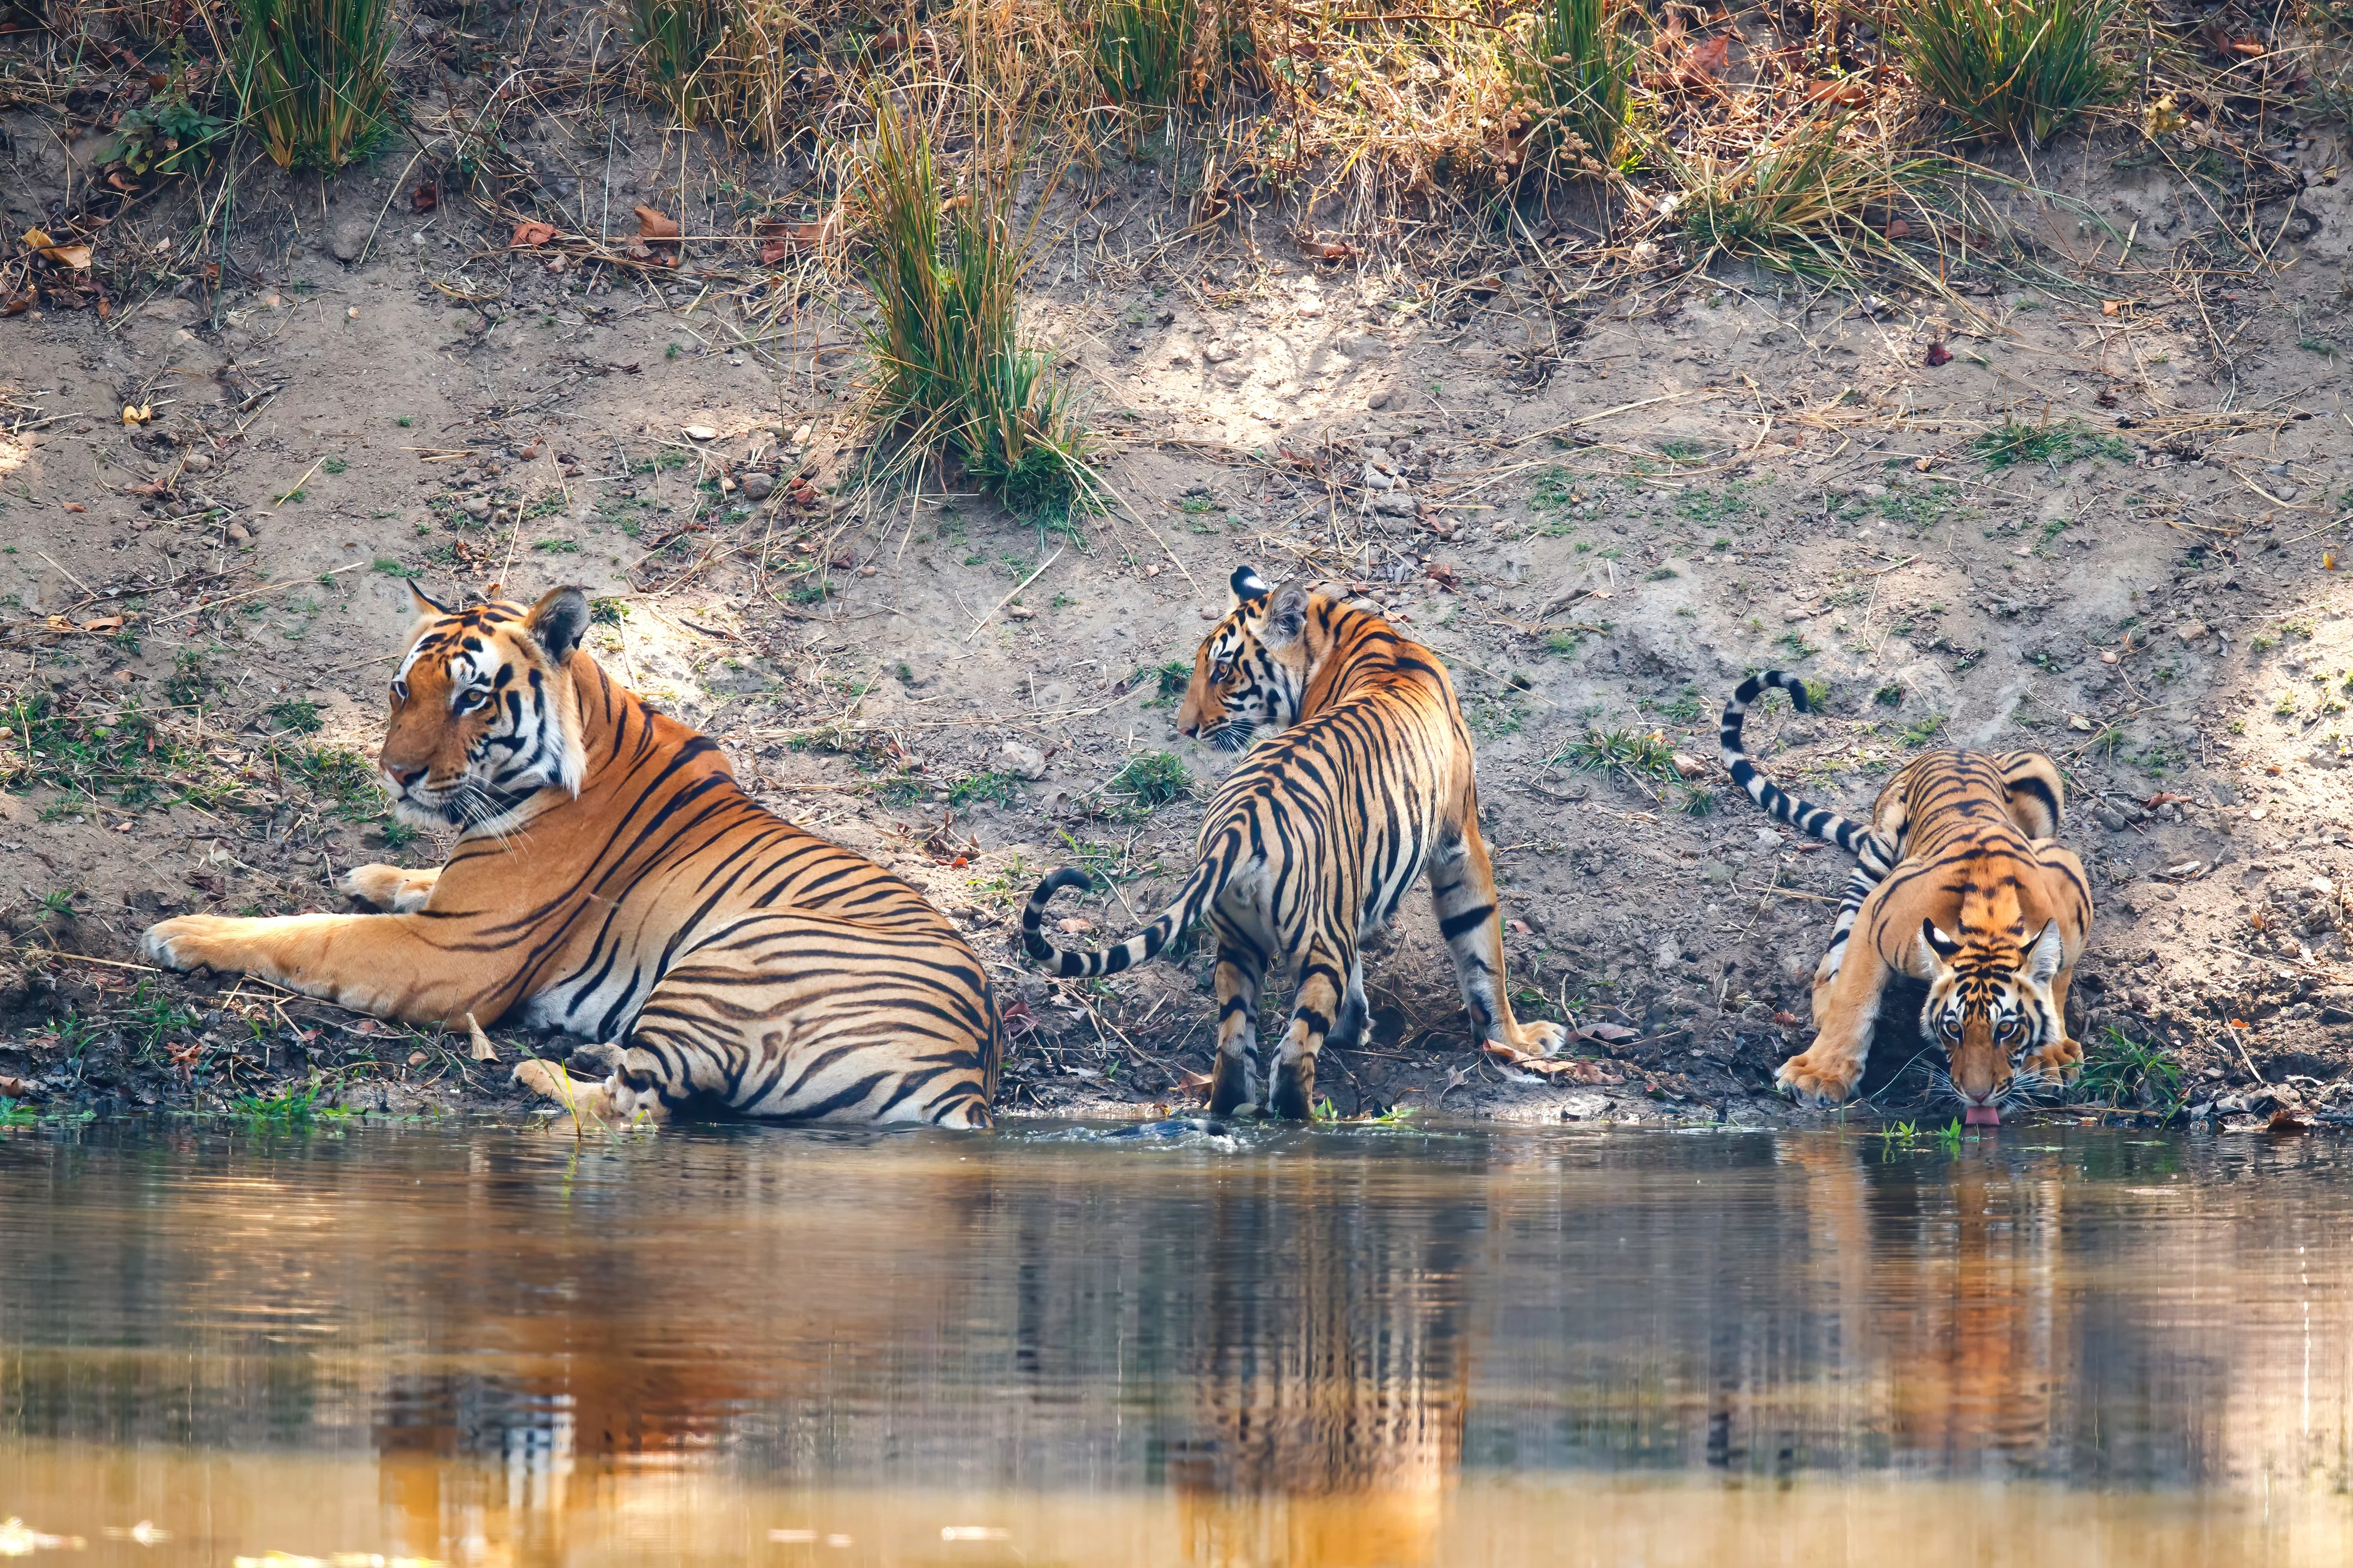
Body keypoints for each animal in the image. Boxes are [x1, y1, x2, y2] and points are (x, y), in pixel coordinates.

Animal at [138, 579, 1002, 1116]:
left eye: (471, 695)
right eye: (402, 688)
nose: (395, 772)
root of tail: (971, 1074)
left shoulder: (455, 953)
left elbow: (310, 933)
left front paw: (182, 933)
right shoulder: (455, 904)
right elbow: (413, 880)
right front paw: (372, 871)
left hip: (734, 955)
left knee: (640, 1110)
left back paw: (542, 1068)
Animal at [1021, 567, 1572, 1116]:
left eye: (1222, 672)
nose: (1185, 729)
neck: (1344, 634)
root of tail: (1239, 826)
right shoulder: (1459, 842)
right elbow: (1483, 951)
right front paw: (1518, 1041)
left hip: (1237, 945)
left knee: (1233, 1043)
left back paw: (1234, 1106)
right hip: (1319, 939)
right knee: (1293, 1052)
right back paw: (1308, 1117)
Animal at [1722, 663, 2089, 1116]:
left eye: (2007, 1029)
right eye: (1953, 1029)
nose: (1979, 1093)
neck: (1991, 920)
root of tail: (1950, 750)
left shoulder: (2068, 889)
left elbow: (2056, 978)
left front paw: (2052, 1055)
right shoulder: (1878, 917)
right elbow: (1854, 1000)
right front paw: (1820, 1075)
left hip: (2039, 767)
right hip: (1878, 851)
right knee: (1835, 953)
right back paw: (1824, 1006)